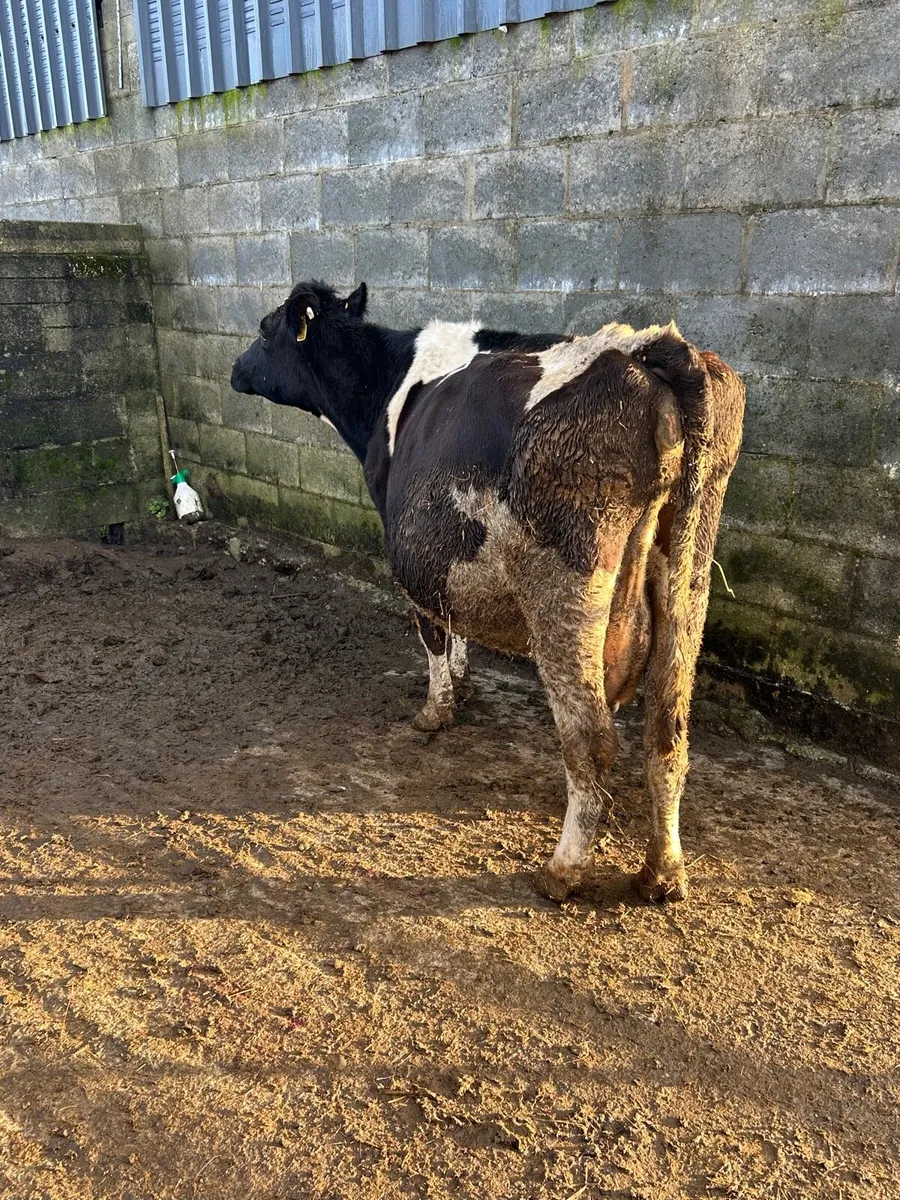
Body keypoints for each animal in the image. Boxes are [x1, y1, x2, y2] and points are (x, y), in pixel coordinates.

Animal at [231, 281, 745, 904]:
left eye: (264, 329)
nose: (234, 369)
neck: (387, 381)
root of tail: (654, 348)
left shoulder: (413, 558)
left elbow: (433, 631)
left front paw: (436, 710)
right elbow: (458, 627)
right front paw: (466, 684)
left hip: (564, 587)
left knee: (592, 739)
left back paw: (563, 871)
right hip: (687, 579)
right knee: (668, 733)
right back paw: (662, 873)